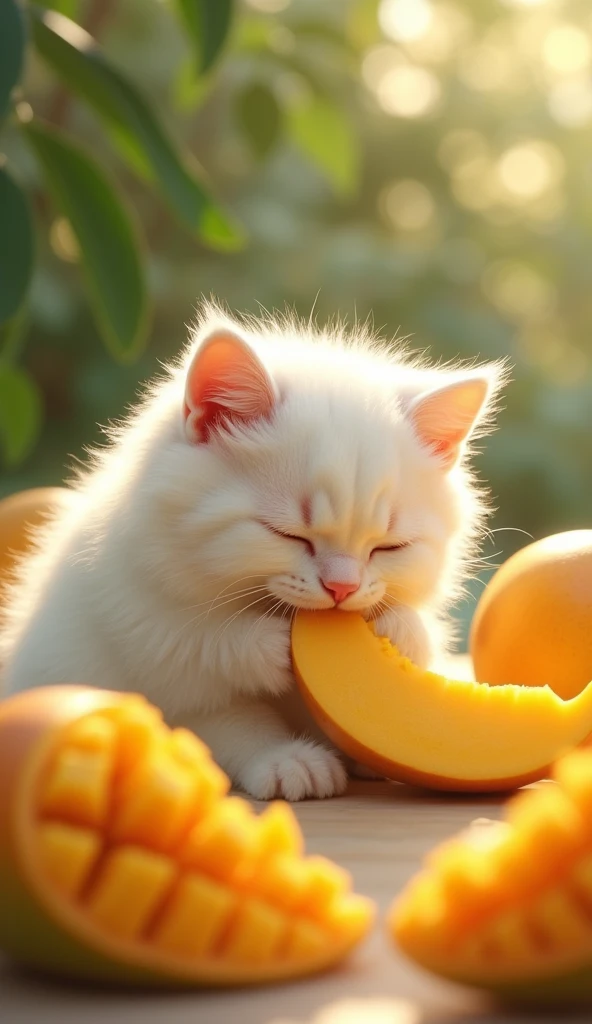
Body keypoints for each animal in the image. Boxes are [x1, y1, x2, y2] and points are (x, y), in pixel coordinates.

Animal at [0, 303, 508, 798]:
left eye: (388, 548)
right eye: (289, 535)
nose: (342, 588)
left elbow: (421, 635)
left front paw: (398, 627)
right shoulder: (140, 626)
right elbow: (212, 675)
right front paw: (282, 736)